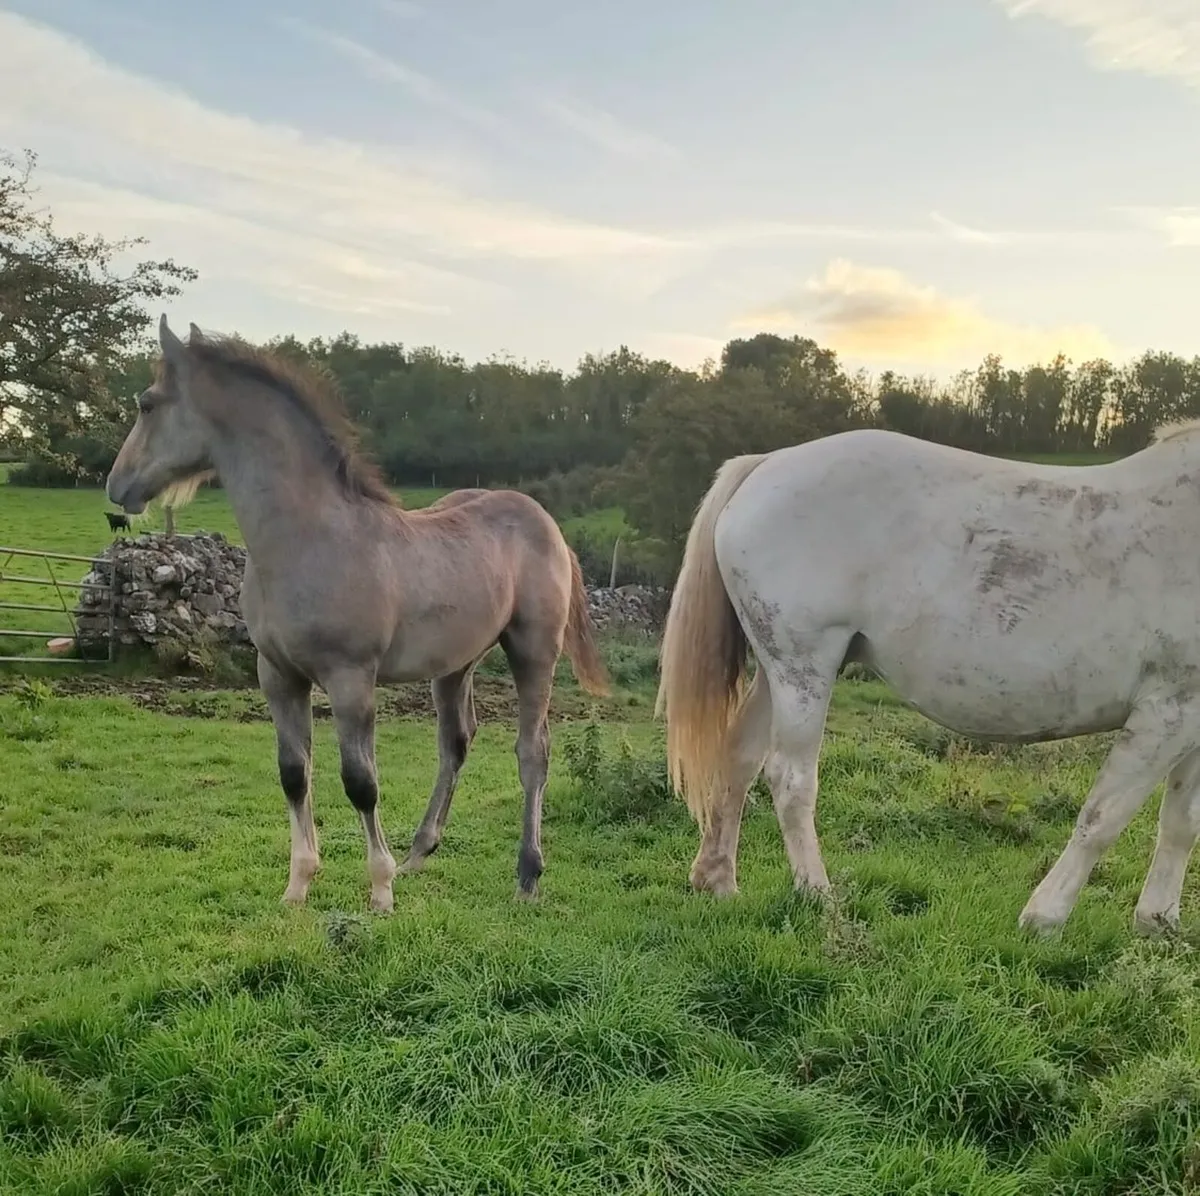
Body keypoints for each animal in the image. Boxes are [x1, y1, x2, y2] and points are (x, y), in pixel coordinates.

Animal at [106, 315, 609, 912]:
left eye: (146, 404)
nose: (116, 485)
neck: (307, 539)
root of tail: (547, 523)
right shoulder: (278, 676)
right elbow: (294, 774)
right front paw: (298, 885)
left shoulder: (350, 678)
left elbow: (360, 782)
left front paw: (380, 890)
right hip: (454, 664)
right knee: (456, 742)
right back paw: (420, 851)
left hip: (533, 650)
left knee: (533, 751)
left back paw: (527, 874)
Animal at [657, 426, 1200, 935]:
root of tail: (767, 462)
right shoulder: (1166, 713)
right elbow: (1103, 817)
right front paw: (1044, 918)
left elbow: (1180, 823)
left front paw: (1159, 924)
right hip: (803, 668)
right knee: (790, 778)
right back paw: (818, 895)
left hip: (779, 671)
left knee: (740, 759)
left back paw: (717, 880)